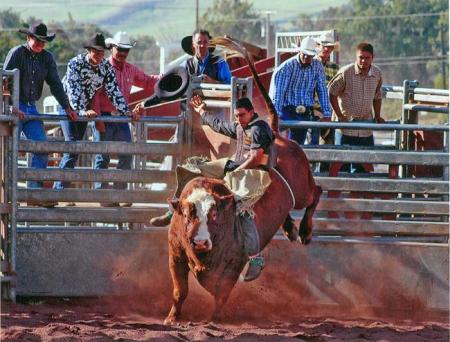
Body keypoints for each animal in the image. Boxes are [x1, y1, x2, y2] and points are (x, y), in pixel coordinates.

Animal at [162, 36, 320, 324]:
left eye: (215, 215)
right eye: (188, 214)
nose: (200, 242)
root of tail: (277, 135)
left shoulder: (234, 263)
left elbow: (221, 292)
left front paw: (214, 319)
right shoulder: (175, 254)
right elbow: (180, 290)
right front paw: (172, 318)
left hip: (303, 187)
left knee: (317, 194)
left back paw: (304, 231)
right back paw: (291, 229)